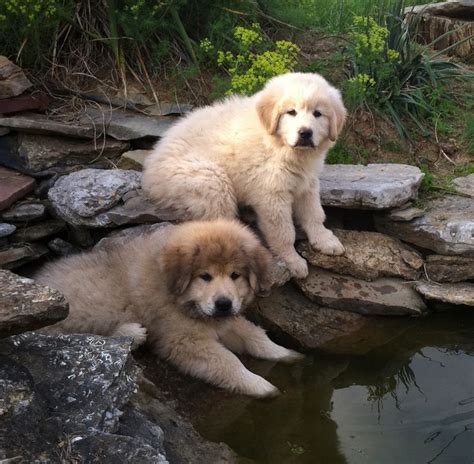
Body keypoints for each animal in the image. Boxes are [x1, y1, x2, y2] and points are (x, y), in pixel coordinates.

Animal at [35, 219, 302, 396]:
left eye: (235, 275)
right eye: (205, 276)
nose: (224, 304)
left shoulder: (222, 321)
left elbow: (254, 336)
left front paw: (285, 353)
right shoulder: (184, 340)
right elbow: (229, 361)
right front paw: (260, 385)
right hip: (70, 314)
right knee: (76, 338)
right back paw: (131, 332)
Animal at [143, 70, 346, 278]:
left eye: (318, 114)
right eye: (291, 112)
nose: (305, 133)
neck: (281, 146)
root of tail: (151, 168)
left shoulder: (307, 183)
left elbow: (314, 213)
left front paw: (325, 240)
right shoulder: (272, 194)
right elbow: (283, 232)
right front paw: (292, 260)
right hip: (211, 181)